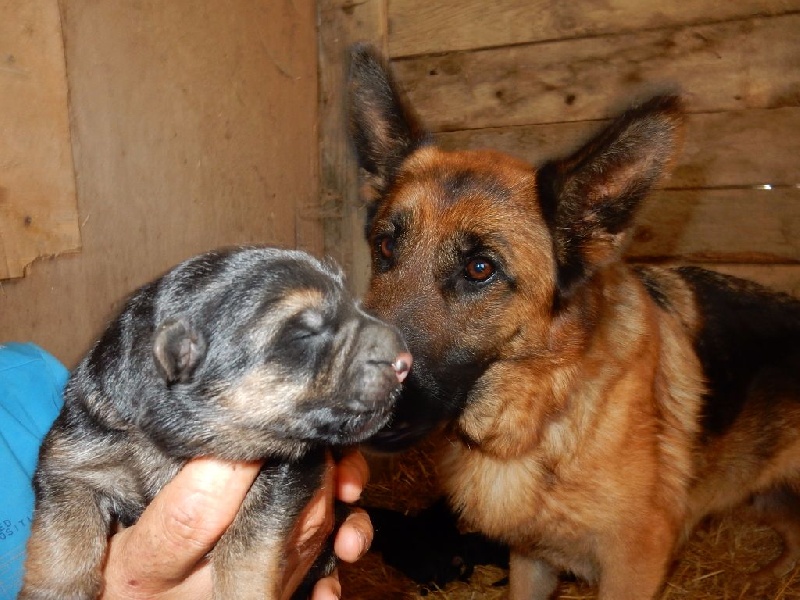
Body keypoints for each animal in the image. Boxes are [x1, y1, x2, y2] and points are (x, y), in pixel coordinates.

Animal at [21, 246, 412, 600]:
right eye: (304, 333)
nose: (405, 361)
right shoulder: (74, 458)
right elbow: (64, 535)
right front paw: (55, 591)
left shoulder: (288, 471)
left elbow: (246, 545)